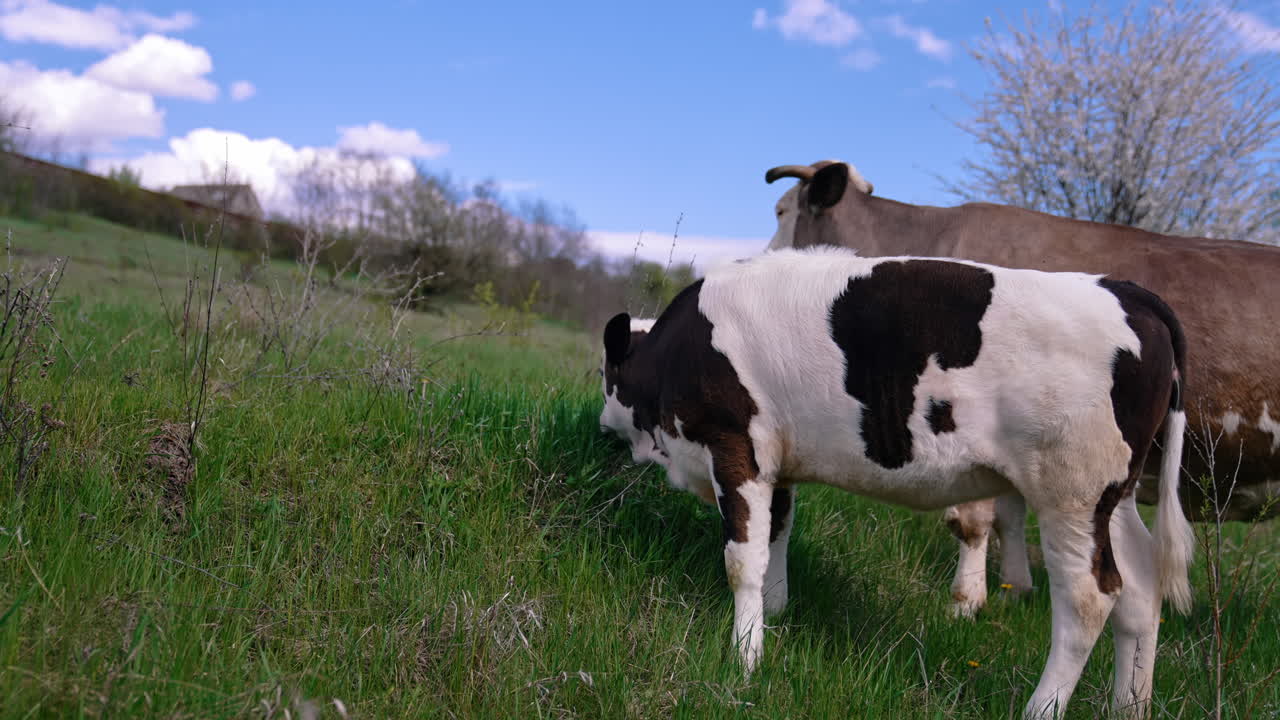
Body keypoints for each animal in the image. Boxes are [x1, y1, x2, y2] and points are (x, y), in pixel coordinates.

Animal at [600, 247, 1193, 718]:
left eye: (606, 373)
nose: (602, 426)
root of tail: (1128, 292)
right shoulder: (779, 465)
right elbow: (777, 537)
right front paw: (775, 618)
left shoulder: (734, 448)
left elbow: (742, 561)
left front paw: (744, 659)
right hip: (1111, 499)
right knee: (1141, 590)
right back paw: (1129, 707)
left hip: (1070, 492)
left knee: (1089, 599)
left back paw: (1039, 709)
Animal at [765, 160, 1280, 617]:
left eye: (780, 211)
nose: (761, 258)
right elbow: (1009, 515)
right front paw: (1016, 590)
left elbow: (972, 521)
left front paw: (965, 603)